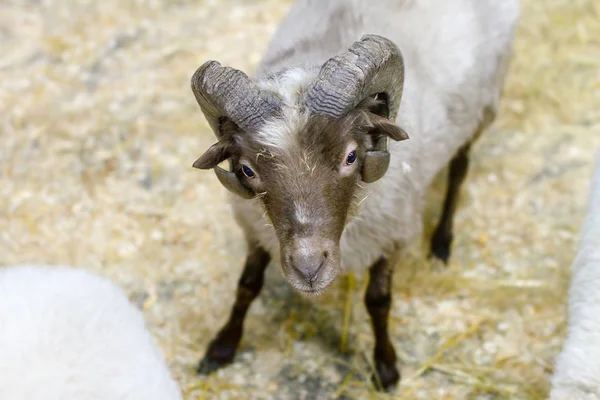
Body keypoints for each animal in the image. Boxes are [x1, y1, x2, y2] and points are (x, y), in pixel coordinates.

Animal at [189, 0, 520, 390]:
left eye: (350, 156)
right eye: (247, 170)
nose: (309, 270)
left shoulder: (393, 235)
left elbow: (379, 301)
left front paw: (386, 368)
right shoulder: (257, 230)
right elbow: (247, 286)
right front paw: (221, 347)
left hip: (482, 107)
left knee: (459, 169)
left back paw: (441, 242)